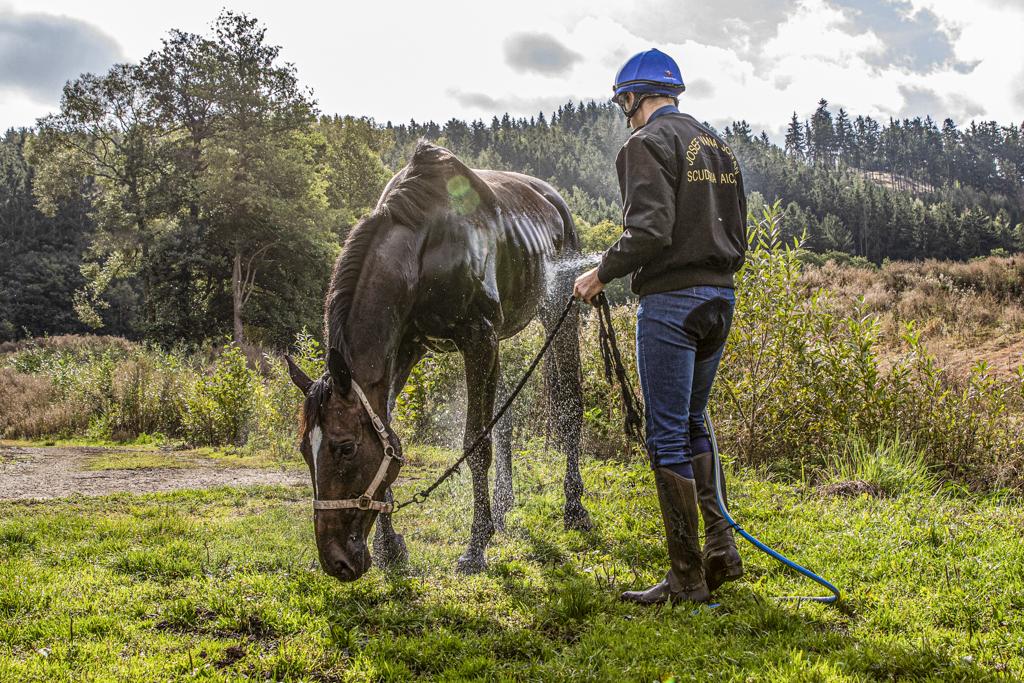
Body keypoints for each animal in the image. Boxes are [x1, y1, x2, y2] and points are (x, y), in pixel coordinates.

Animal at [288, 141, 593, 581]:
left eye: (344, 448)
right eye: (302, 450)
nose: (336, 562)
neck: (422, 251)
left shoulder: (479, 340)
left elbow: (476, 444)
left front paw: (476, 547)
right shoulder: (408, 348)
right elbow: (392, 432)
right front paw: (390, 547)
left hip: (558, 314)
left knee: (569, 408)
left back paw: (573, 508)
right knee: (503, 421)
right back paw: (503, 508)